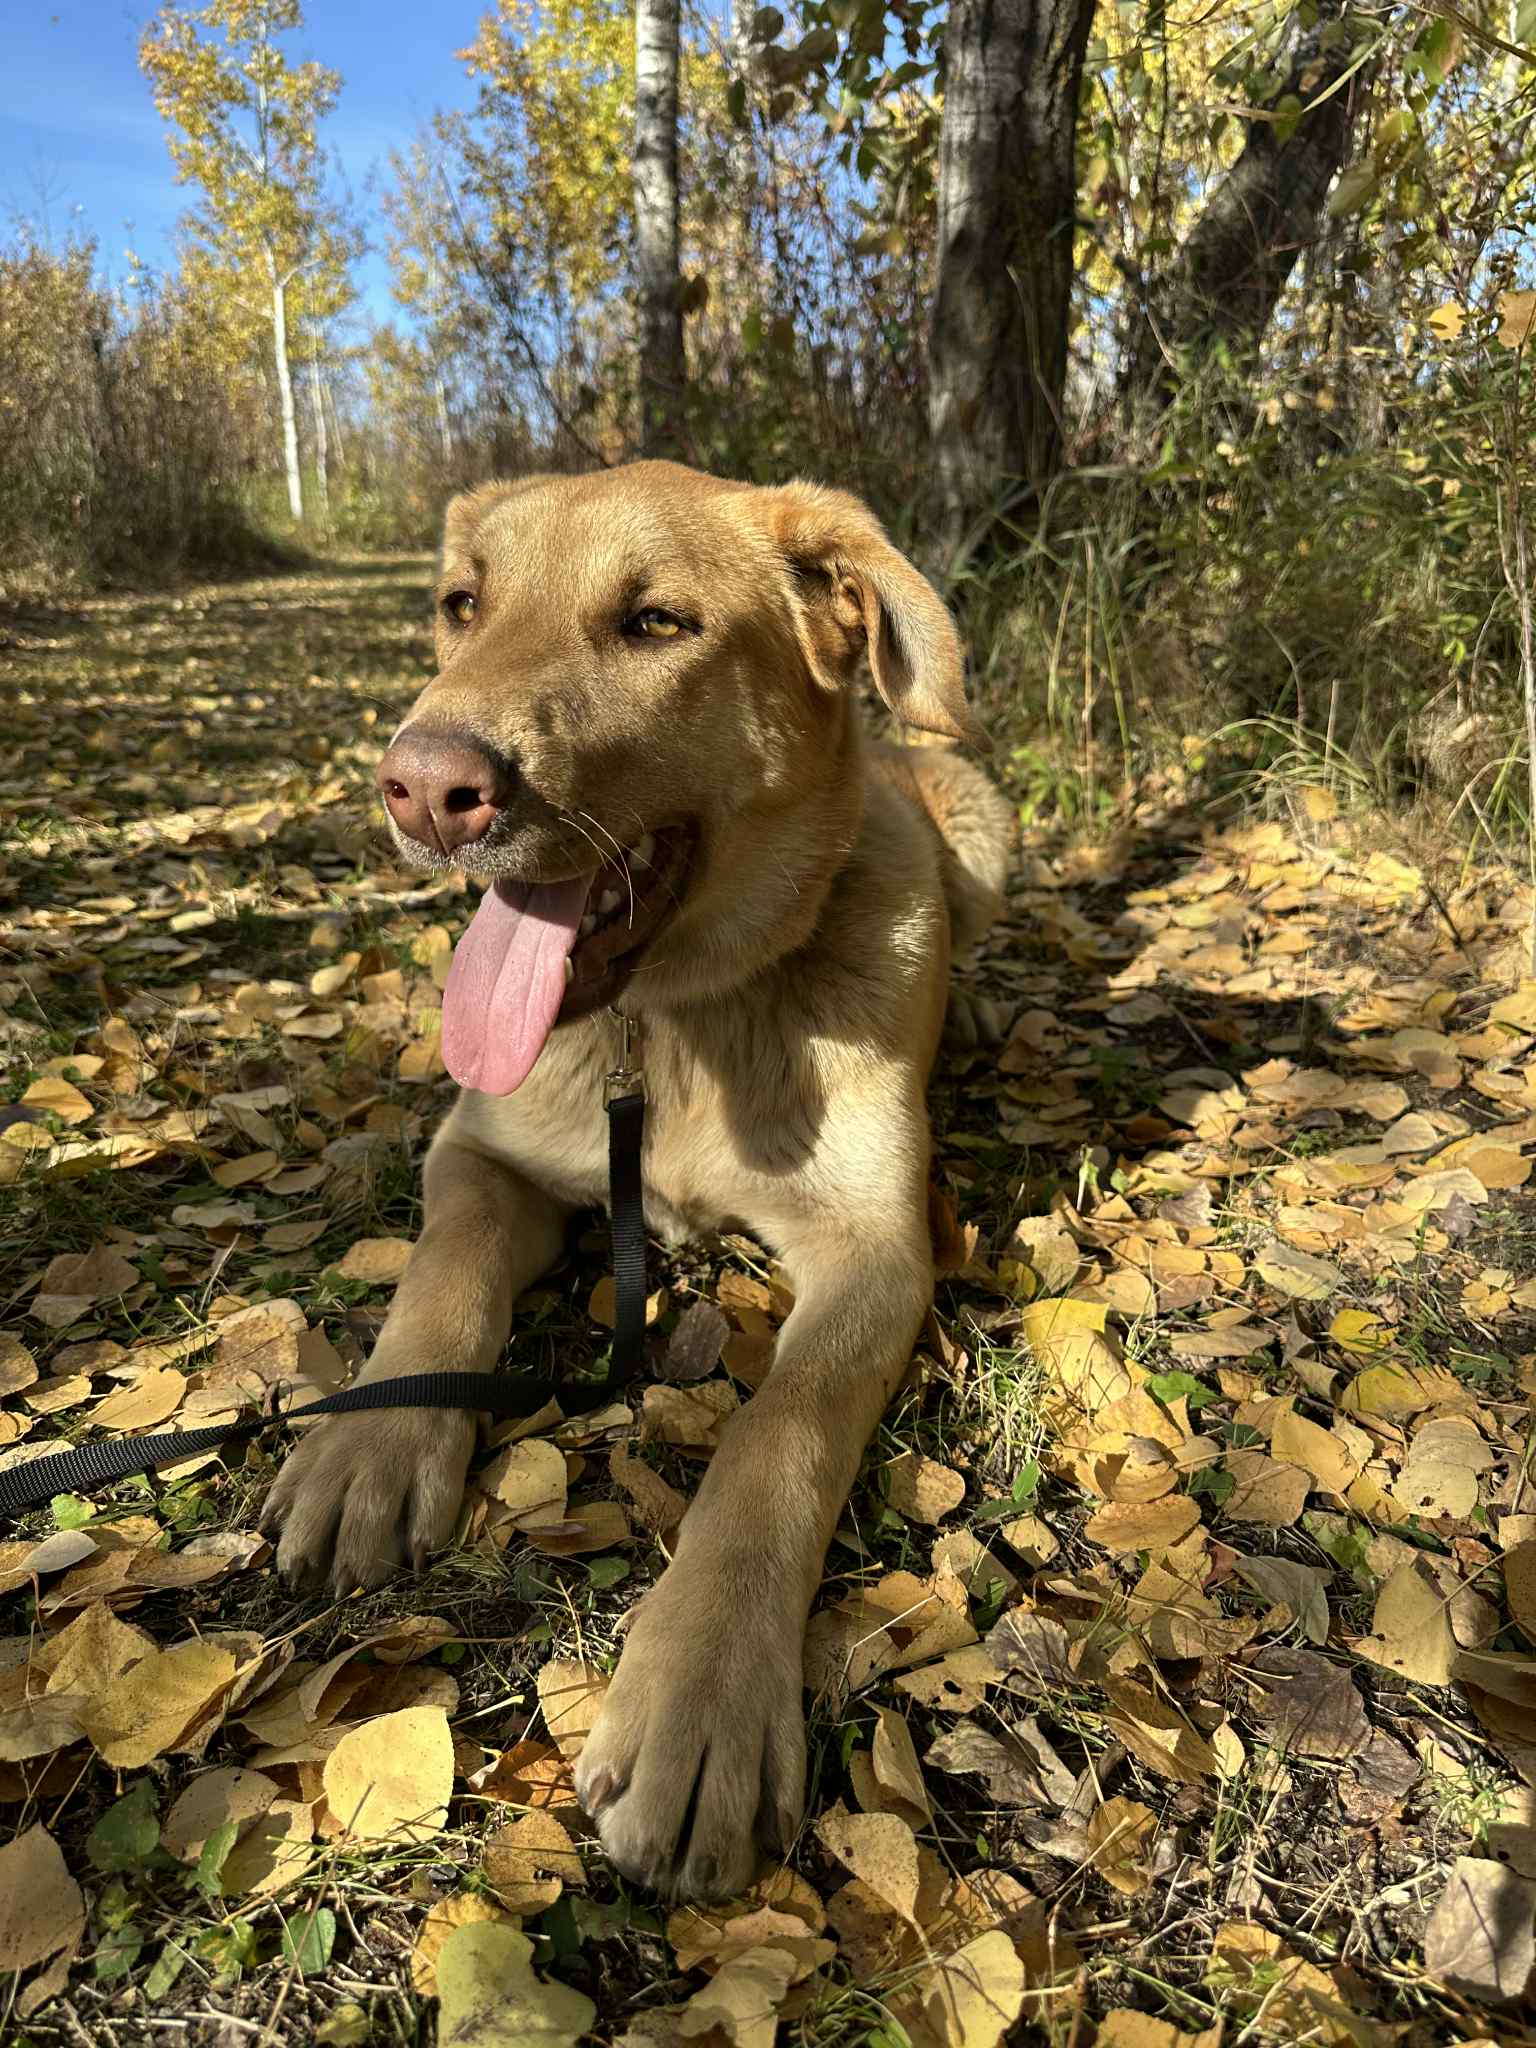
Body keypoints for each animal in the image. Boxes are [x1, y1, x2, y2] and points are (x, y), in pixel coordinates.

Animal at [261, 460, 1014, 1900]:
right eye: (463, 605)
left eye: (656, 623)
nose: (425, 789)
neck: (661, 1031)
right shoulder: (480, 1153)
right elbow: (440, 1281)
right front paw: (373, 1437)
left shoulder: (878, 1248)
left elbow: (776, 1441)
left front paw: (703, 1692)